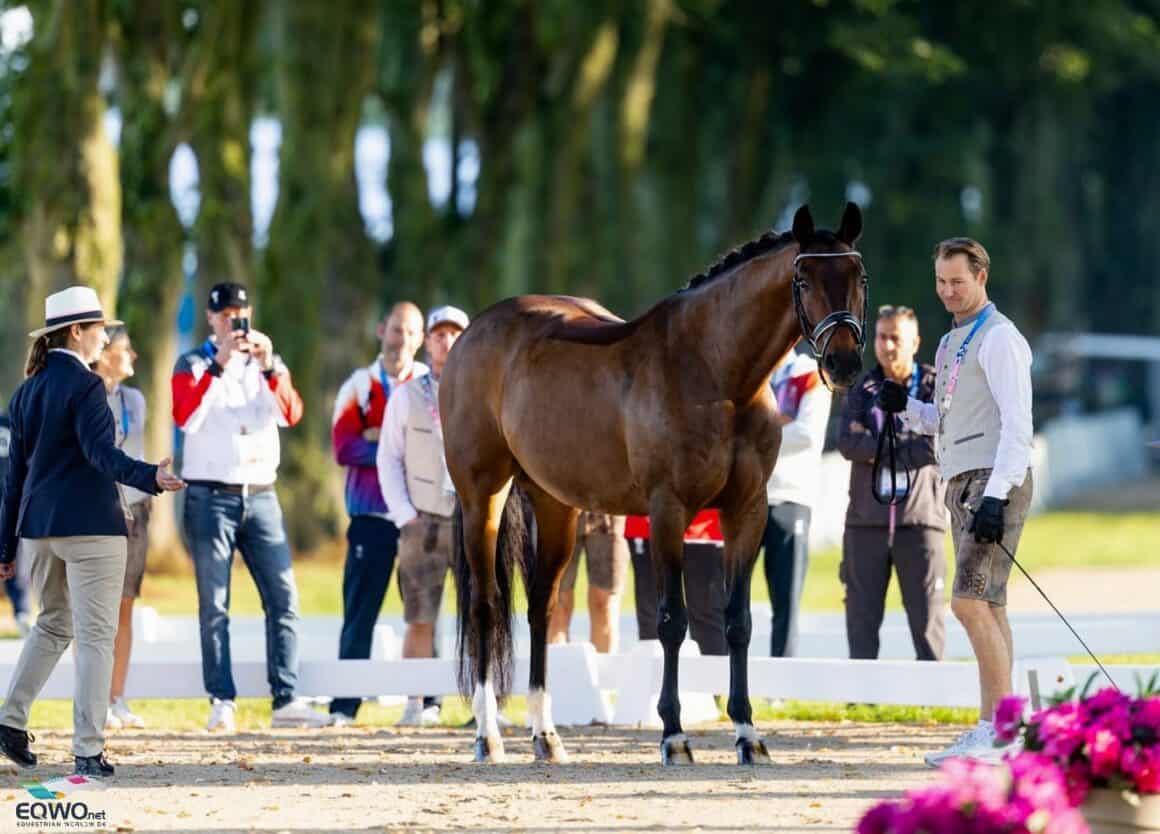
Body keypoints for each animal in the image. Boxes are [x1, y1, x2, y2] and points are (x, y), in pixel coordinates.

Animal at [438, 201, 867, 765]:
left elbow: (738, 622)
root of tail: (473, 332)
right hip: (482, 495)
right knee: (486, 606)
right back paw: (488, 736)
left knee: (540, 607)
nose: (844, 363)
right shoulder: (668, 511)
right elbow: (671, 622)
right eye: (803, 278)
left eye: (859, 276)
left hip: (555, 506)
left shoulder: (746, 511)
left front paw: (748, 734)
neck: (715, 373)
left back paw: (545, 737)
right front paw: (674, 736)